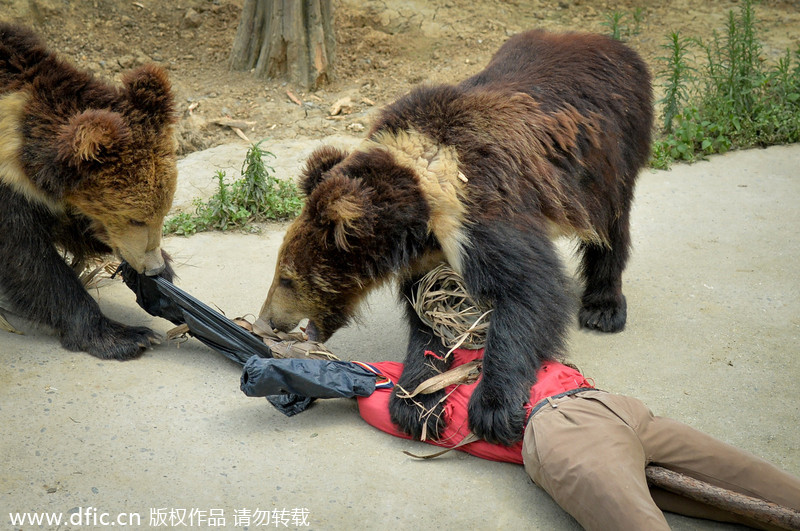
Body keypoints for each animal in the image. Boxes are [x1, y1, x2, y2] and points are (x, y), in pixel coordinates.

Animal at [0, 22, 178, 360]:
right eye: (135, 218)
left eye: (164, 212)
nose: (152, 269)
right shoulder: (8, 194)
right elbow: (29, 262)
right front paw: (125, 336)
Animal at [260, 28, 652, 444]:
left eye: (287, 277)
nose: (267, 322)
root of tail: (603, 39)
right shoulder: (429, 255)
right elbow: (430, 318)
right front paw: (419, 402)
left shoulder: (478, 210)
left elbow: (529, 289)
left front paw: (495, 408)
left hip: (610, 156)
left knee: (611, 229)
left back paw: (603, 307)